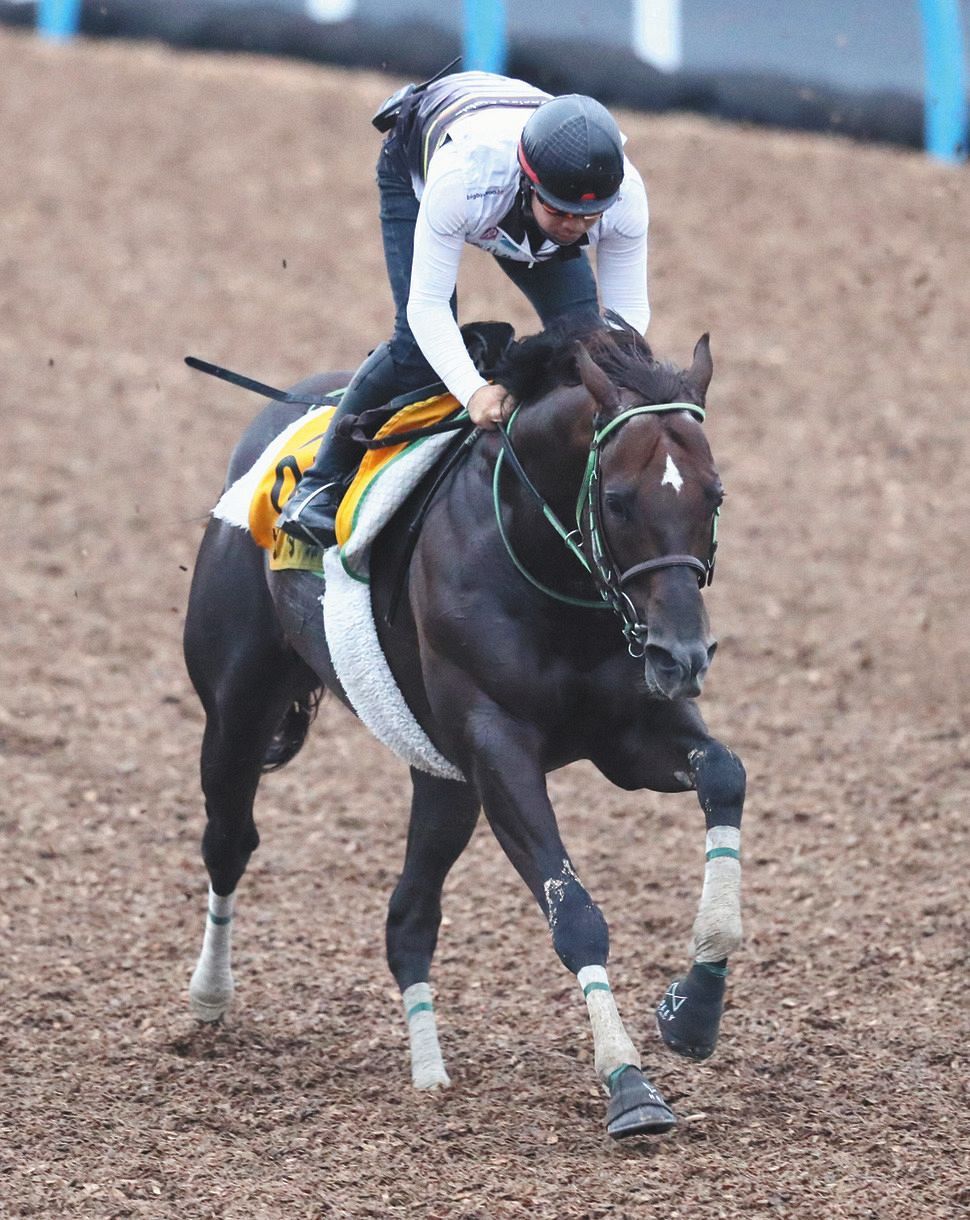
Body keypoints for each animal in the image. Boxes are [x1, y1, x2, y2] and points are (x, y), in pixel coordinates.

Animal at [182, 316, 746, 1139]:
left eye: (715, 494)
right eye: (615, 499)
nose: (684, 654)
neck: (546, 568)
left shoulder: (629, 733)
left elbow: (725, 775)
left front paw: (694, 1008)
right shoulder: (497, 746)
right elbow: (574, 912)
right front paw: (628, 1083)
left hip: (441, 775)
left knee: (408, 918)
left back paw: (429, 1072)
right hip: (236, 712)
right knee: (229, 843)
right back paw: (209, 997)